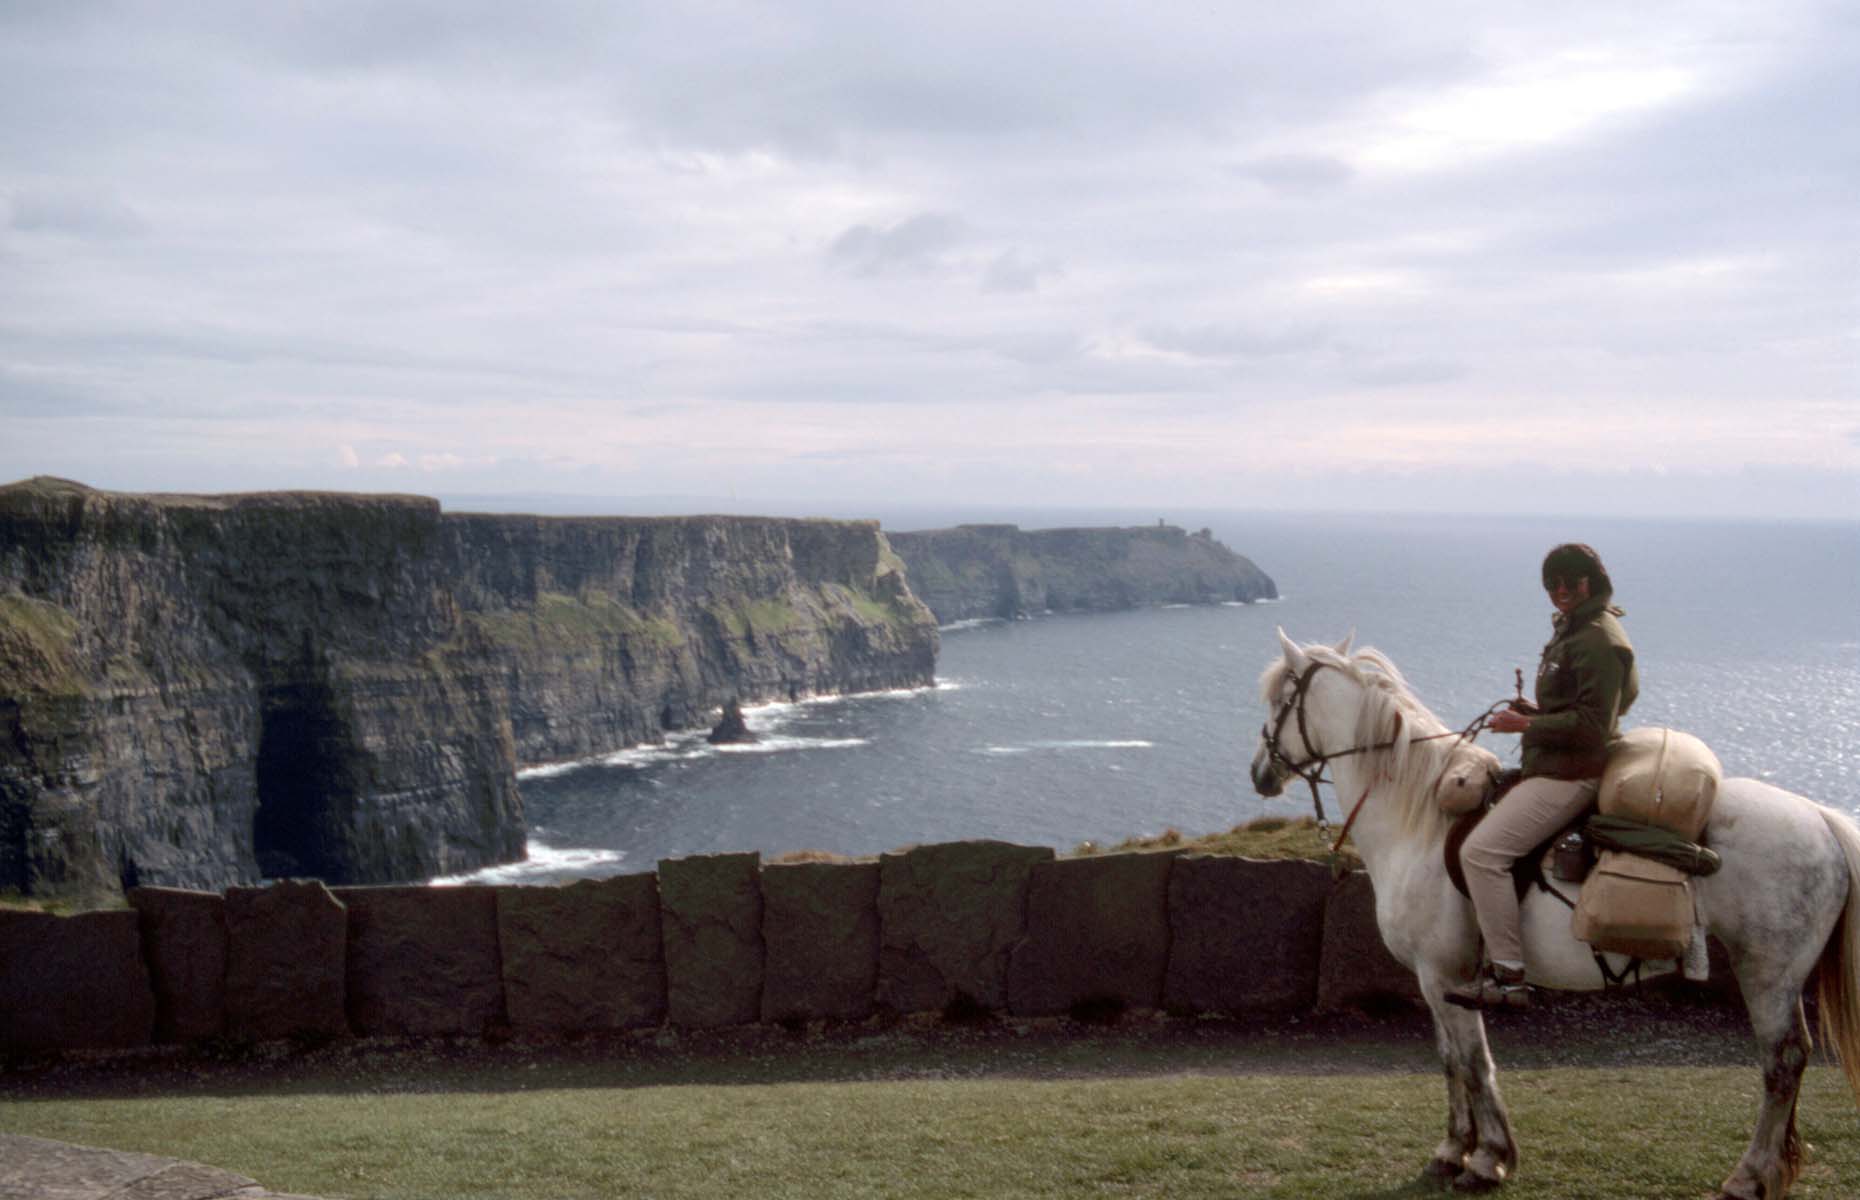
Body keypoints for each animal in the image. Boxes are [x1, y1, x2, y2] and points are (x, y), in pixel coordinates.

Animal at [1249, 632, 1860, 1190]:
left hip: (1767, 972)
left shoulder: (1445, 975)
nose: (1260, 772)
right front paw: (1453, 1149)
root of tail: (1820, 819)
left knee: (1782, 1062)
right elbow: (1449, 1060)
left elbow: (1473, 1063)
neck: (1419, 818)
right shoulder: (1434, 980)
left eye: (1279, 702)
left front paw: (1486, 1158)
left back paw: (1749, 1176)